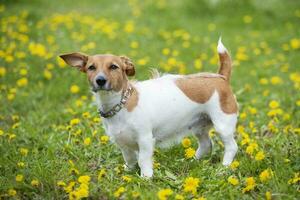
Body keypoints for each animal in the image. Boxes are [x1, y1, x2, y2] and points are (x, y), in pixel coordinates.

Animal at [60, 39, 239, 178]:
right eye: (91, 67)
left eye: (113, 67)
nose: (100, 80)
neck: (121, 104)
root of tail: (221, 77)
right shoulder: (122, 143)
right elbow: (130, 159)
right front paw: (128, 171)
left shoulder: (145, 139)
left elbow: (143, 160)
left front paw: (146, 177)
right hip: (198, 126)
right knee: (206, 144)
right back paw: (193, 160)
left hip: (223, 125)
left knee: (232, 146)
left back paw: (224, 167)